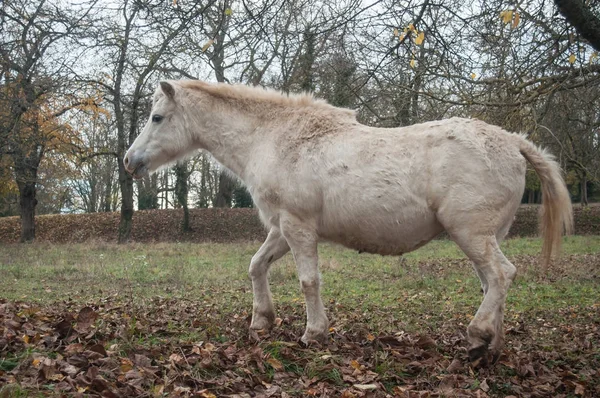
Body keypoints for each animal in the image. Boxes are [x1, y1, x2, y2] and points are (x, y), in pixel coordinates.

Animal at [123, 80, 572, 364]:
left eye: (157, 117)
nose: (129, 160)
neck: (273, 138)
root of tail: (513, 141)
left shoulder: (298, 227)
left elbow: (308, 281)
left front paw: (313, 332)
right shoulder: (281, 229)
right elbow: (256, 266)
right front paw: (261, 320)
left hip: (471, 234)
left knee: (502, 274)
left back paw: (478, 335)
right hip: (488, 235)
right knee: (492, 283)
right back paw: (491, 346)